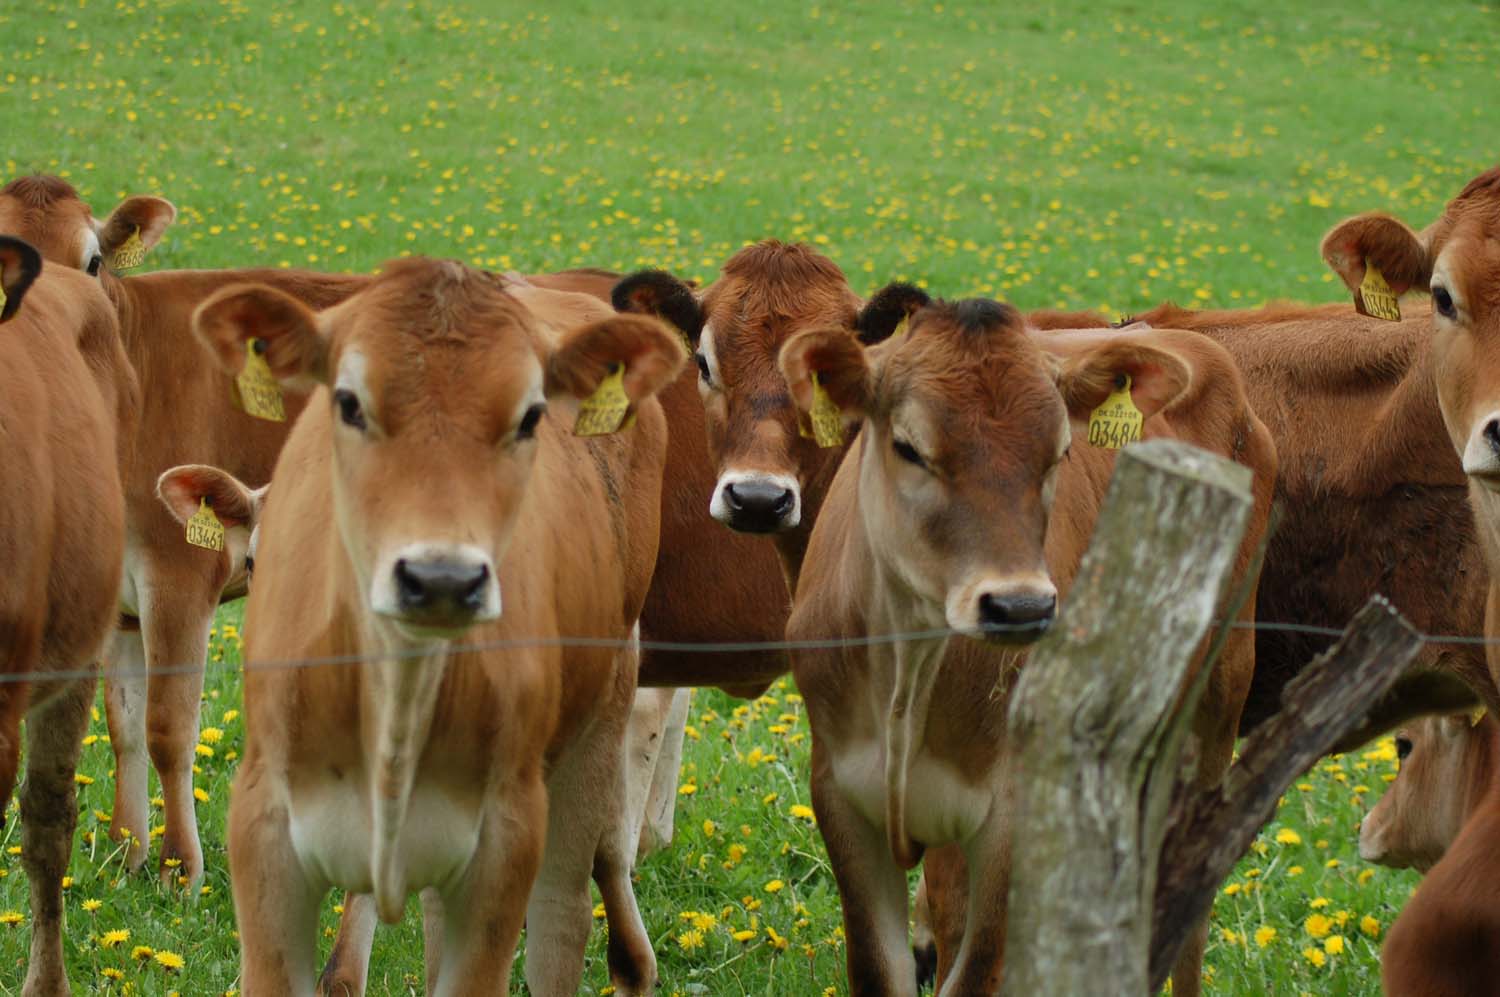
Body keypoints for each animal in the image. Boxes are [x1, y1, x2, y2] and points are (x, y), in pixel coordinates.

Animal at [191, 260, 683, 995]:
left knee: (563, 914)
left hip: (600, 719)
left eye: (532, 414)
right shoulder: (264, 837)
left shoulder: (503, 847)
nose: (441, 578)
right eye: (349, 401)